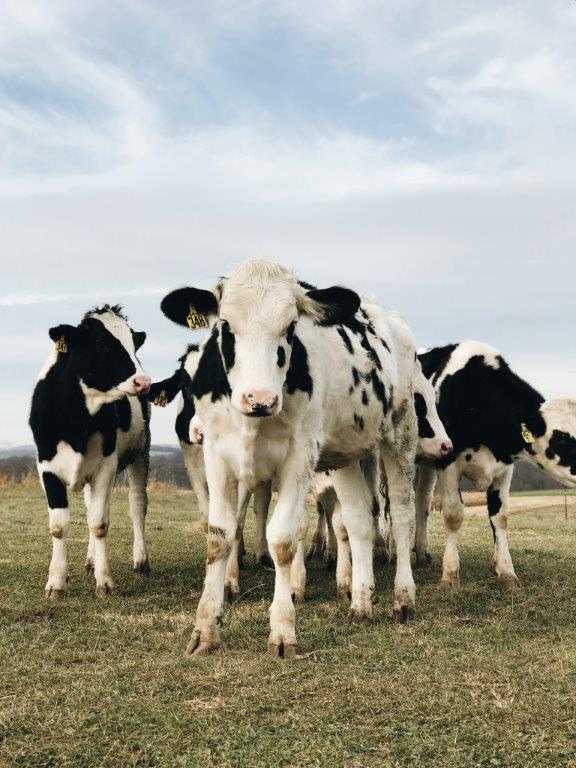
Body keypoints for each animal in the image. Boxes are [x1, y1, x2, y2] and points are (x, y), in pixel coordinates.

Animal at [30, 306, 152, 600]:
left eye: (134, 345)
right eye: (101, 345)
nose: (143, 381)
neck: (77, 419)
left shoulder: (106, 466)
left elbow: (99, 523)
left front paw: (104, 581)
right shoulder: (46, 467)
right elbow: (59, 525)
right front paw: (56, 582)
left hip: (141, 453)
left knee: (137, 506)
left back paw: (140, 561)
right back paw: (90, 561)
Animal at [160, 260, 430, 656]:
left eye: (290, 327)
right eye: (225, 326)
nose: (259, 399)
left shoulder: (299, 459)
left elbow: (283, 540)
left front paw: (283, 630)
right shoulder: (217, 455)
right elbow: (219, 535)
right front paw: (205, 630)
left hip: (401, 432)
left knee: (401, 514)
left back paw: (404, 600)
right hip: (346, 453)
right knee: (358, 521)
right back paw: (361, 604)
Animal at [414, 340, 576, 592]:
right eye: (561, 439)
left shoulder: (504, 467)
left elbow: (500, 517)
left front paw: (506, 572)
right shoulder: (447, 461)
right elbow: (453, 514)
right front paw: (450, 574)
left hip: (426, 463)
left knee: (421, 502)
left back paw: (421, 553)